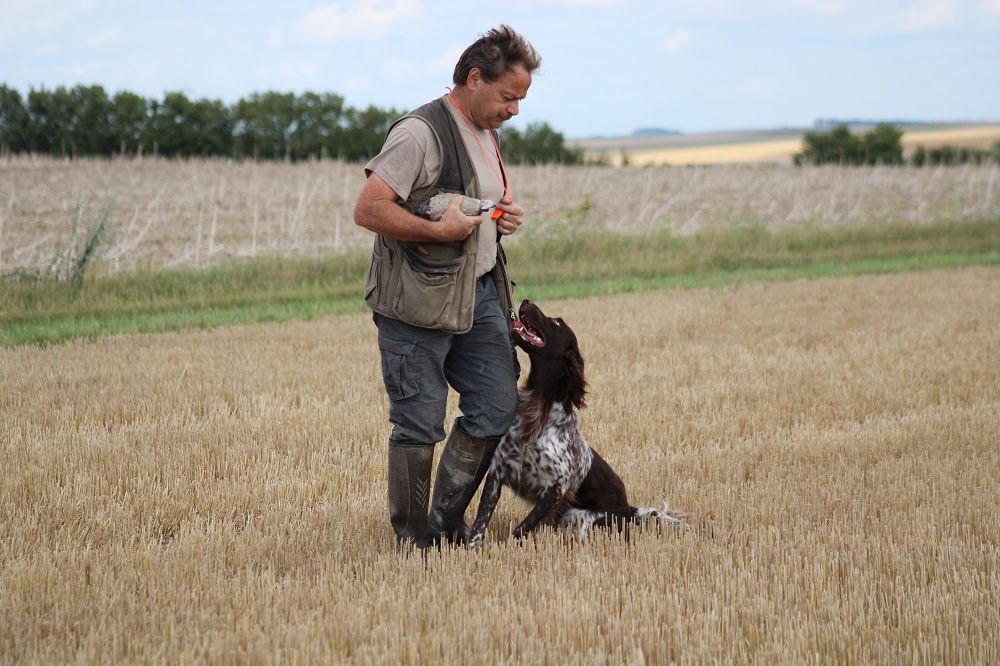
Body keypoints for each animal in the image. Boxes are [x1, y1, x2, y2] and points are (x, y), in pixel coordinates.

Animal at [468, 298, 688, 548]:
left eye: (557, 322)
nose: (525, 301)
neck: (538, 408)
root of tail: (628, 510)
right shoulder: (498, 471)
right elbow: (481, 520)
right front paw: (471, 548)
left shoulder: (556, 489)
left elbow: (522, 527)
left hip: (581, 517)